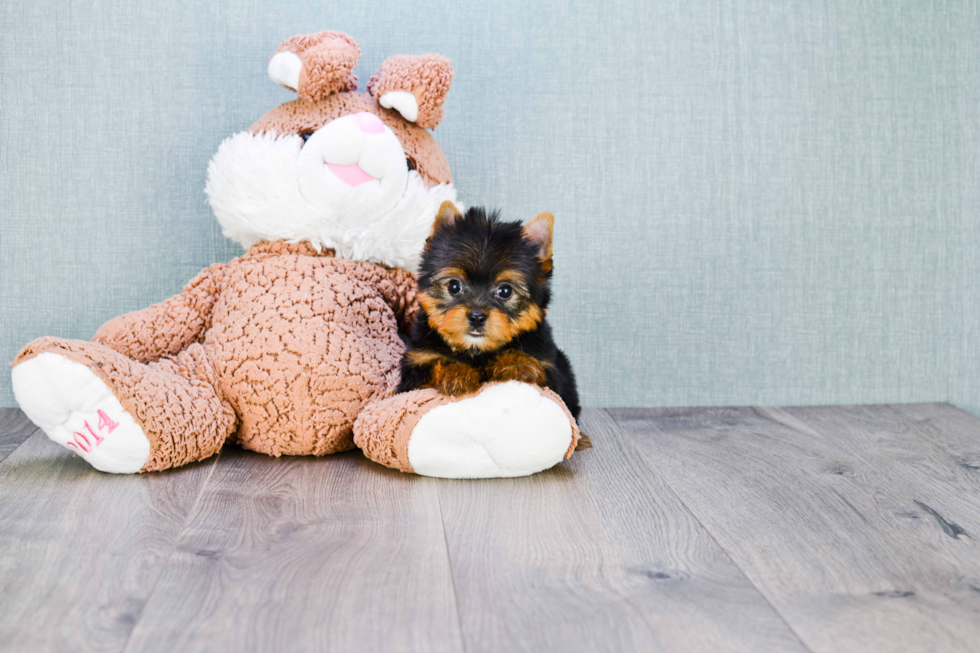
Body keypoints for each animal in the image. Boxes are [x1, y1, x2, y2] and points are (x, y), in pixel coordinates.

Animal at [394, 201, 584, 446]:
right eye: (454, 286)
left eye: (505, 291)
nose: (476, 316)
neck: (478, 351)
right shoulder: (413, 370)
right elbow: (433, 366)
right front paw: (456, 373)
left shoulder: (549, 371)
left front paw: (516, 363)